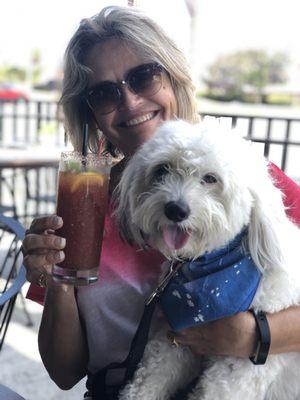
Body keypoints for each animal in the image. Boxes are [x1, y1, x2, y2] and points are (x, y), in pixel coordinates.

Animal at [114, 119, 300, 400]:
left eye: (210, 178)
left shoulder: (239, 366)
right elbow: (148, 378)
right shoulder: (175, 339)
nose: (176, 209)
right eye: (162, 170)